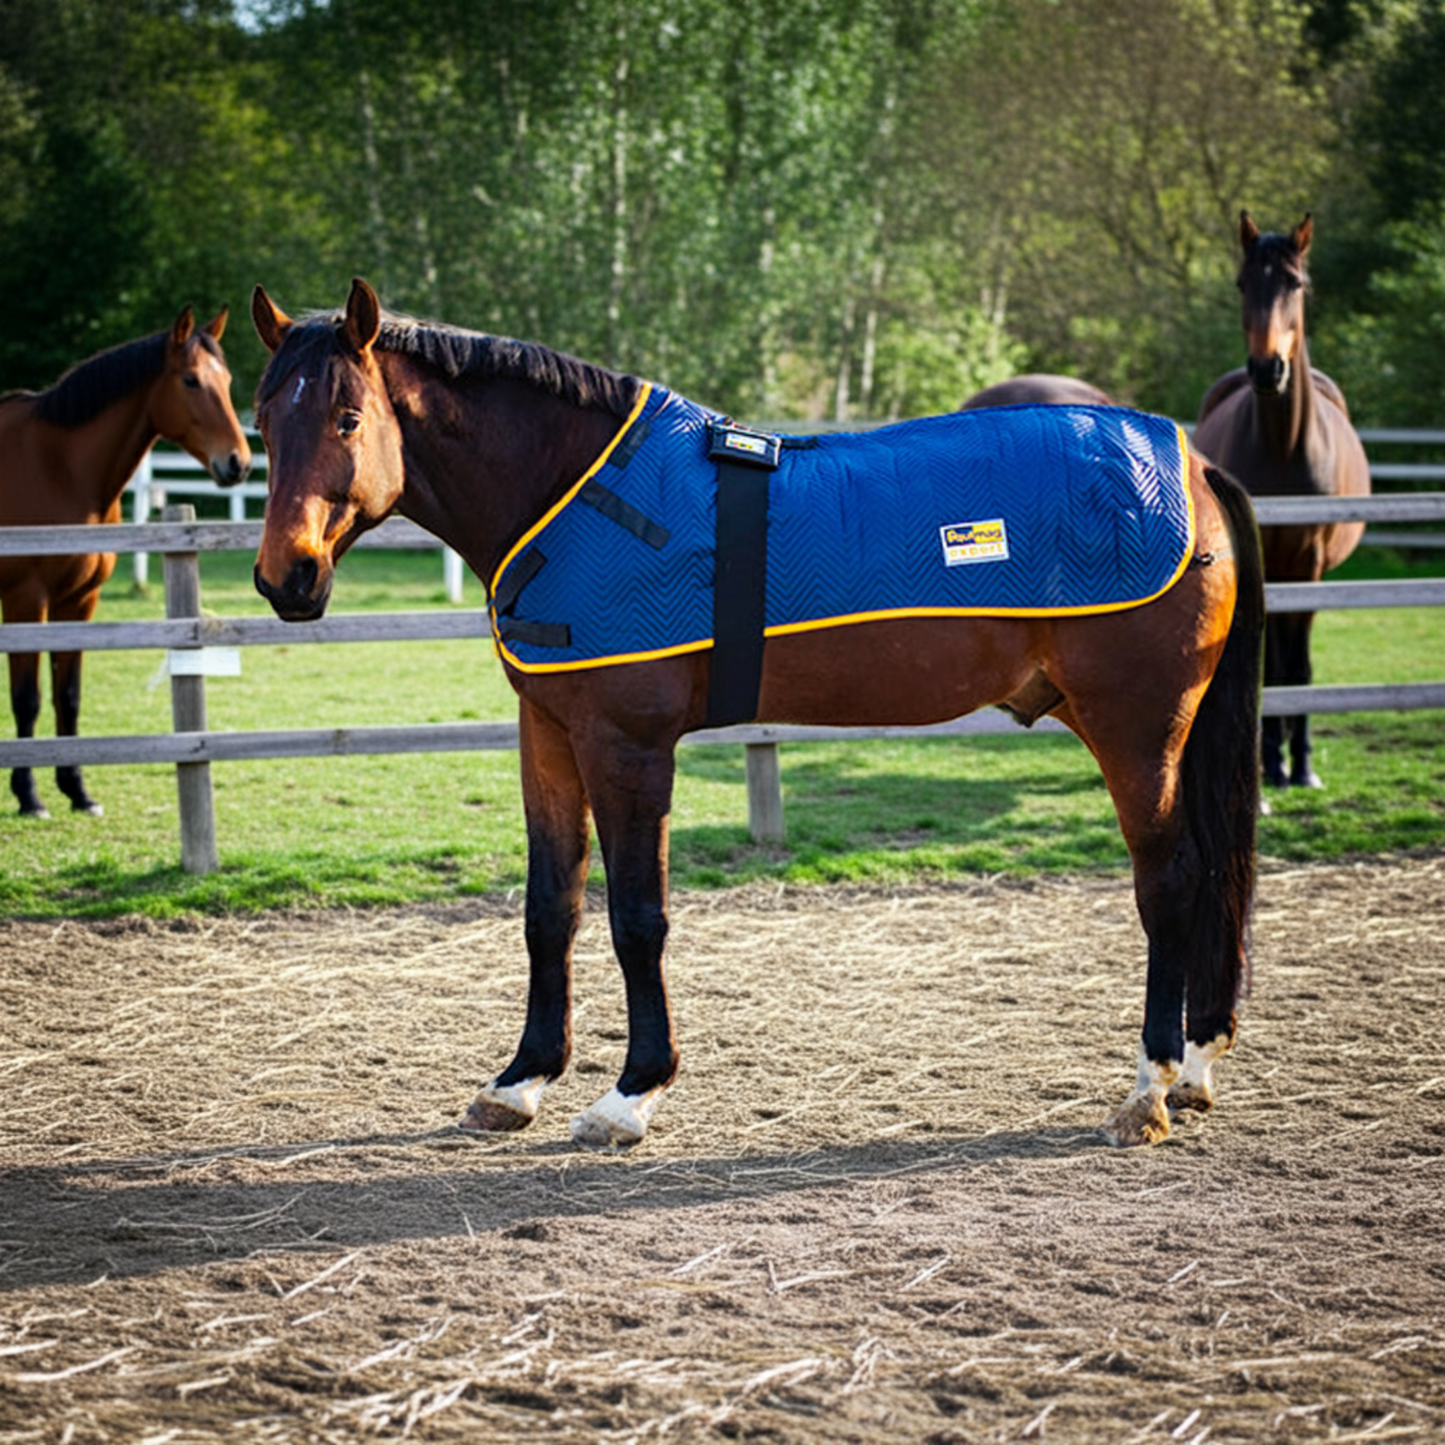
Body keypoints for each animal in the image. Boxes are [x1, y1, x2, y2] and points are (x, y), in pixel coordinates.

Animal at [0, 307, 252, 817]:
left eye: (227, 379)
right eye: (190, 379)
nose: (238, 462)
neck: (56, 466)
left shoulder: (78, 602)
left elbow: (68, 696)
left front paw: (76, 789)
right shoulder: (25, 603)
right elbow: (27, 698)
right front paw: (29, 795)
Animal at [249, 277, 1263, 1151]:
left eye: (347, 416)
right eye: (261, 421)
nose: (285, 578)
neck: (570, 493)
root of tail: (1193, 465)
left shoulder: (628, 747)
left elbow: (637, 916)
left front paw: (631, 1093)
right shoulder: (549, 736)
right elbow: (551, 908)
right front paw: (519, 1080)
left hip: (1134, 726)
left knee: (1170, 878)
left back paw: (1146, 1088)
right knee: (1203, 871)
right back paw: (1193, 1066)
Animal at [1193, 212, 1371, 789]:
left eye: (1297, 284)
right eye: (1241, 283)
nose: (1267, 369)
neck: (1284, 448)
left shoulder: (1309, 564)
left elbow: (1300, 668)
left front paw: (1304, 763)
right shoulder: (1267, 559)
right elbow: (1272, 670)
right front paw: (1271, 761)